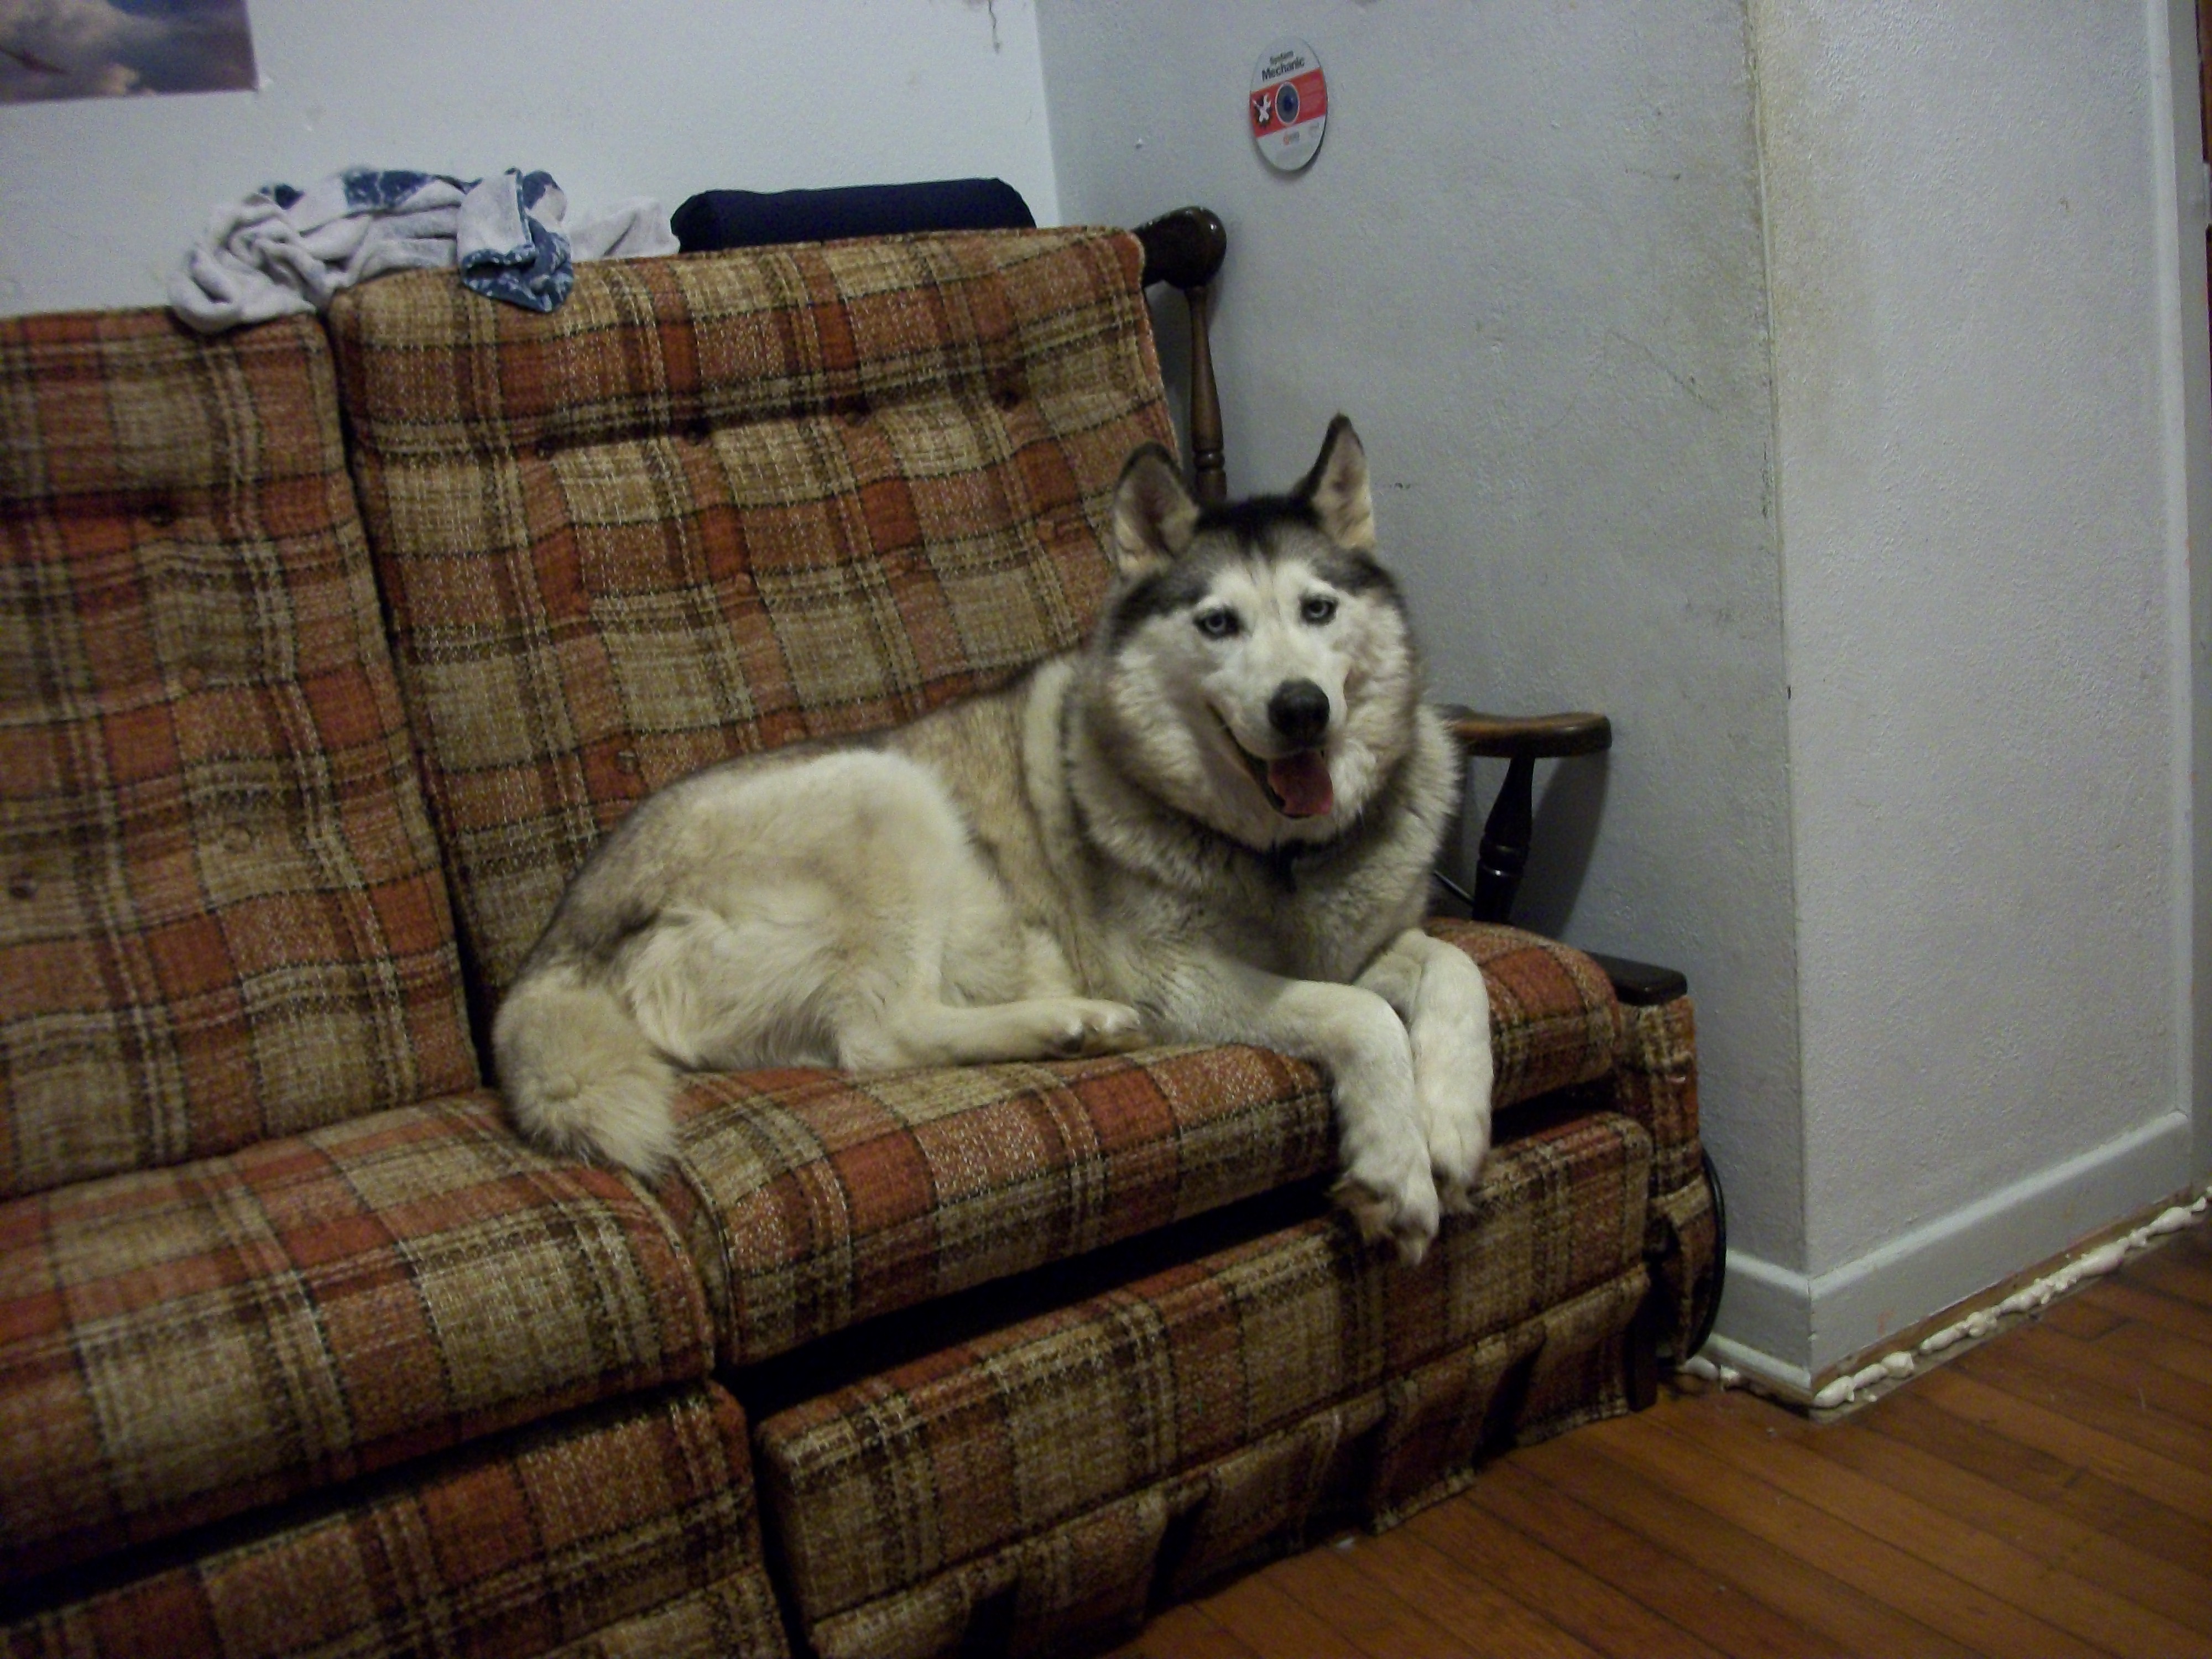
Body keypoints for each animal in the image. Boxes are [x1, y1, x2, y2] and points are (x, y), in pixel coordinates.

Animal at [494, 416, 1492, 1261]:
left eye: (1319, 609)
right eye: (1218, 623)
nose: (1301, 710)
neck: (1278, 857)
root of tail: (554, 947)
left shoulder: (1368, 943)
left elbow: (1457, 968)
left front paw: (1452, 1123)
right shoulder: (1170, 976)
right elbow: (1359, 1014)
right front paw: (1396, 1170)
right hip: (888, 794)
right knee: (882, 1037)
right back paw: (1072, 1025)